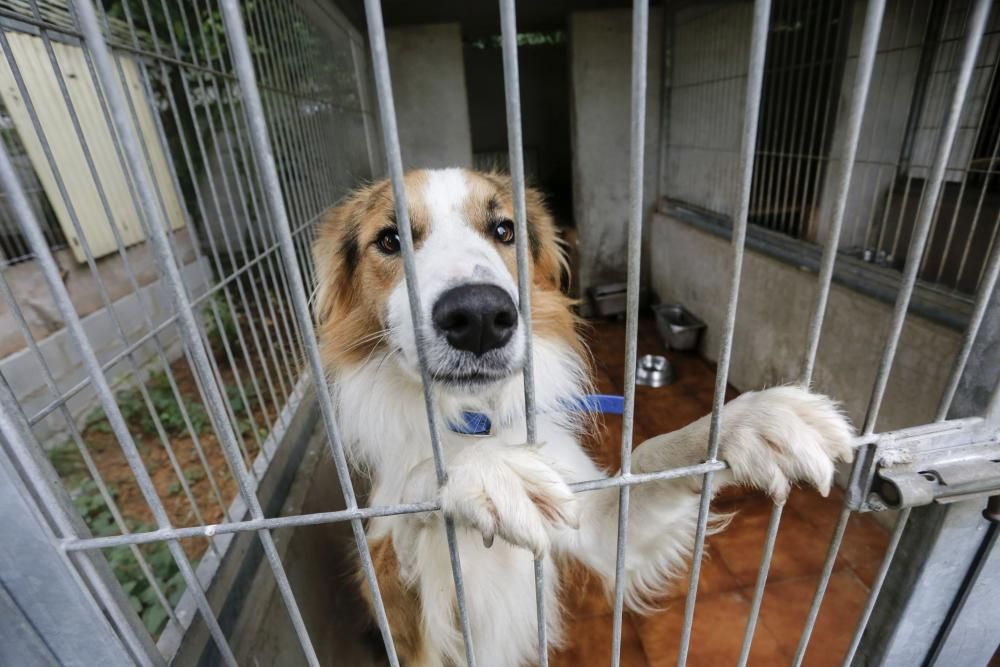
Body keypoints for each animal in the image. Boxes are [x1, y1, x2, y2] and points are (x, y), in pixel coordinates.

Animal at [310, 170, 852, 667]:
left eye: (504, 230)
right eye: (391, 239)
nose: (480, 316)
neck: (473, 417)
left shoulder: (600, 527)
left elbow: (649, 457)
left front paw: (750, 421)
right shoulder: (410, 630)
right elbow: (411, 511)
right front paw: (484, 469)